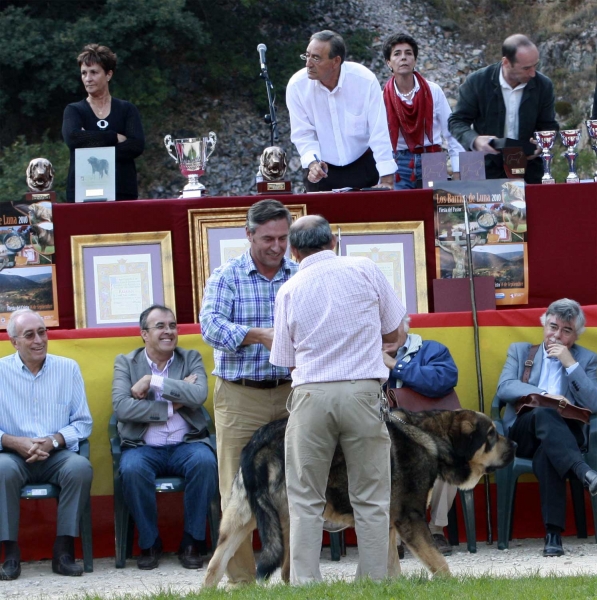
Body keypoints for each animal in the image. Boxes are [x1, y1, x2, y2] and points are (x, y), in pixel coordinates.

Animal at [204, 408, 512, 584]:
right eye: (491, 435)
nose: (517, 446)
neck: (432, 436)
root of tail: (258, 443)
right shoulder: (410, 519)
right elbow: (439, 562)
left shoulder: (387, 522)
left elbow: (389, 564)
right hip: (292, 518)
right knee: (287, 570)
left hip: (238, 520)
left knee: (214, 567)